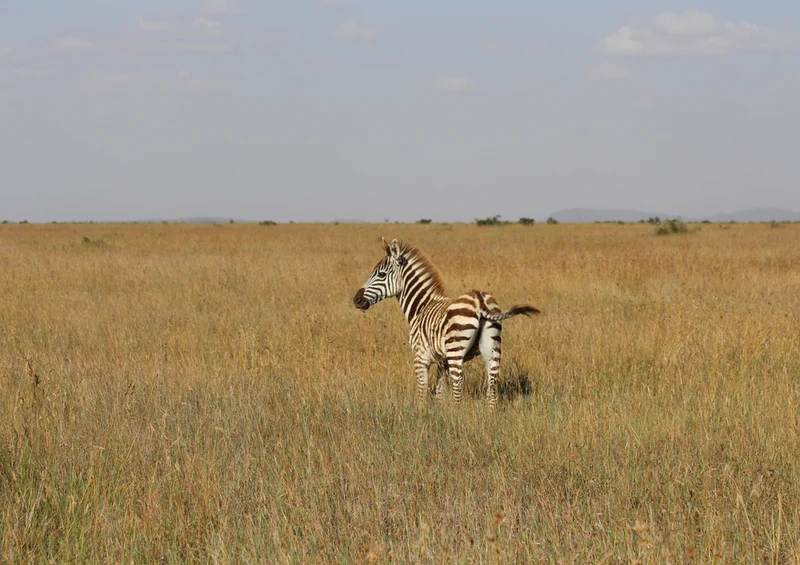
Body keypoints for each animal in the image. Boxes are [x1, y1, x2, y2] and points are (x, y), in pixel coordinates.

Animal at [353, 238, 540, 408]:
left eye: (381, 274)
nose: (356, 299)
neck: (421, 307)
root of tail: (479, 299)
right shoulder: (442, 362)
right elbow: (439, 393)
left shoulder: (420, 357)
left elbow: (422, 392)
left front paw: (420, 416)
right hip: (493, 347)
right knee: (492, 386)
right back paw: (489, 417)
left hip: (456, 351)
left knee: (458, 389)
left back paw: (457, 417)